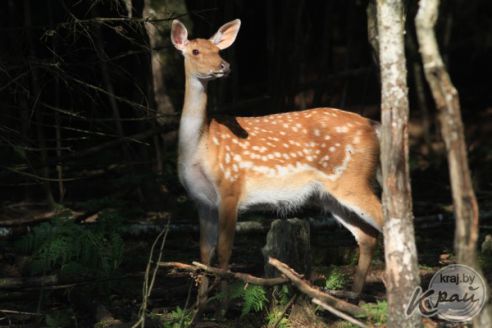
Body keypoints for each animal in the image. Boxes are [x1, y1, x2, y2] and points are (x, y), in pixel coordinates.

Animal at [171, 18, 382, 316]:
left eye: (218, 49)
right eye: (196, 51)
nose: (224, 66)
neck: (200, 146)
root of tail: (375, 126)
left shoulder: (231, 187)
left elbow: (224, 251)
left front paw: (223, 310)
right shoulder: (201, 201)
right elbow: (204, 253)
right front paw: (199, 310)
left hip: (353, 180)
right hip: (329, 195)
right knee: (366, 236)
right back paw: (351, 297)